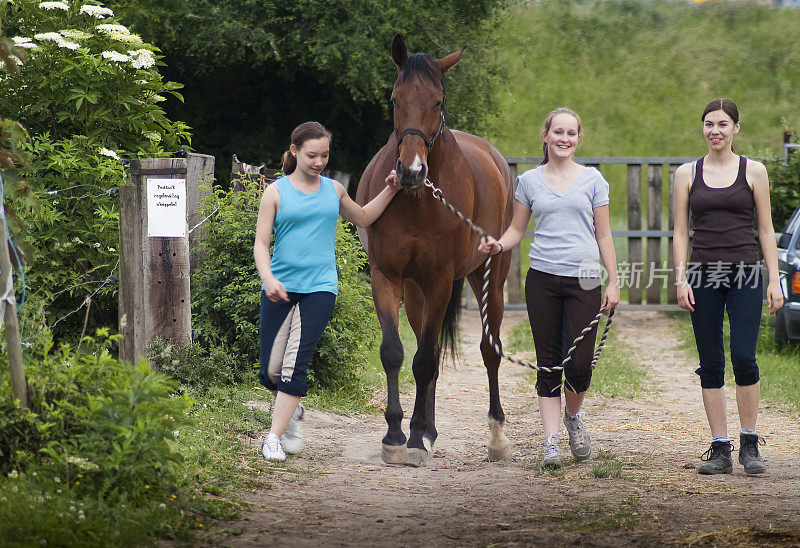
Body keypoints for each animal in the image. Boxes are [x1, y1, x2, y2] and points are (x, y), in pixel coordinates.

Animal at [354, 34, 512, 464]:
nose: (411, 171)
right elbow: (396, 353)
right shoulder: (388, 277)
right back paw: (427, 429)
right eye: (394, 99)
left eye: (438, 102)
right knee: (435, 355)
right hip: (416, 292)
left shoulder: (441, 281)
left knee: (489, 350)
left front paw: (410, 439)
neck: (416, 201)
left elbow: (423, 360)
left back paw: (495, 436)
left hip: (489, 278)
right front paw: (396, 434)